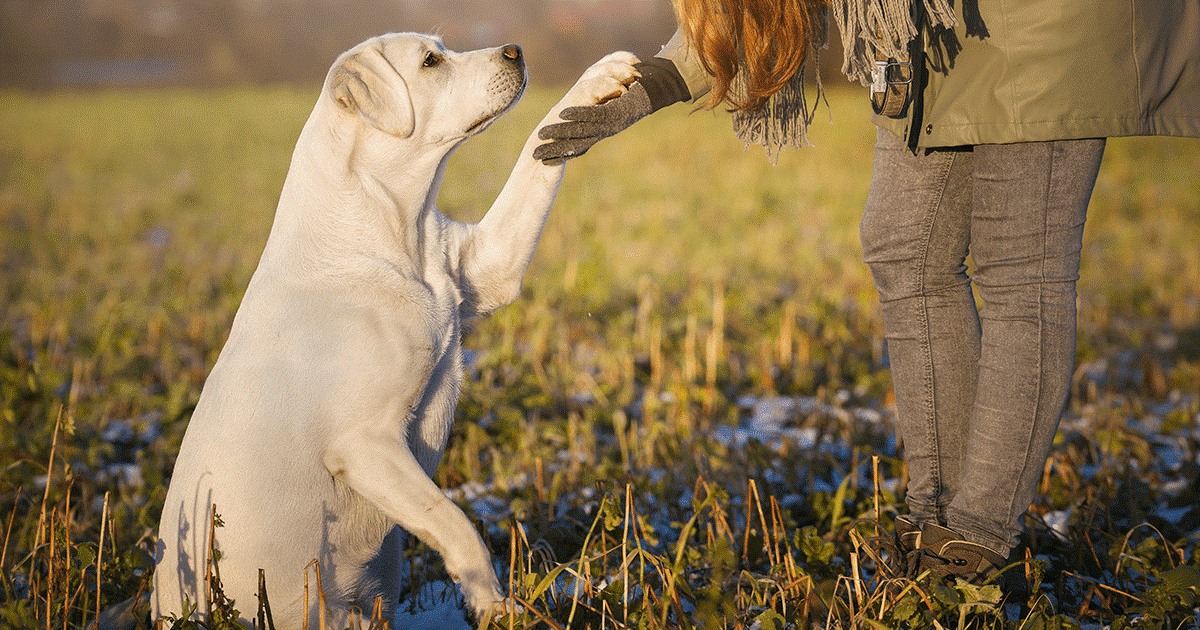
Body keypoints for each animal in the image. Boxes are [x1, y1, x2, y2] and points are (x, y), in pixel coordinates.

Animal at [154, 34, 643, 628]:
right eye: (430, 61)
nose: (515, 50)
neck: (393, 232)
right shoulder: (366, 443)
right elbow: (454, 521)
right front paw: (494, 603)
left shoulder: (489, 265)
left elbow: (539, 146)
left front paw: (600, 80)